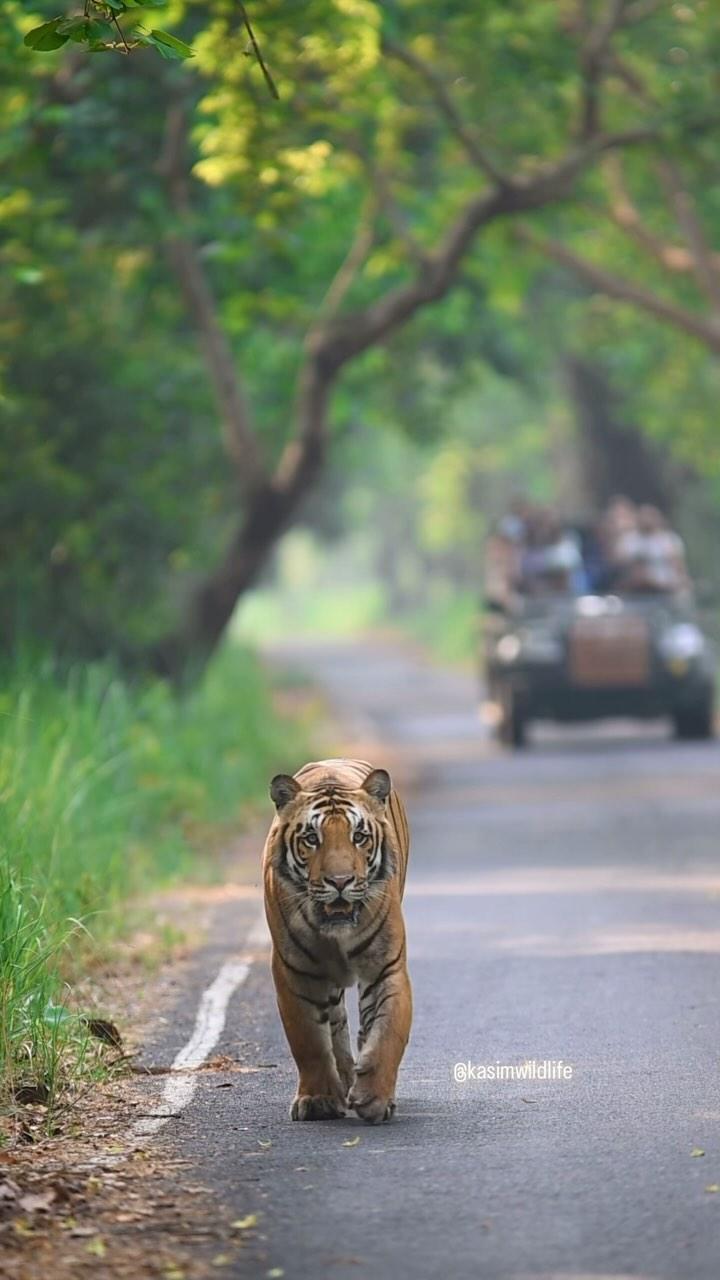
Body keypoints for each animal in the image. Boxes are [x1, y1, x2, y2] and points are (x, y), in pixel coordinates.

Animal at [262, 752, 409, 1126]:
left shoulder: (386, 967)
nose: (340, 881)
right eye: (312, 839)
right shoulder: (294, 972)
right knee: (336, 1022)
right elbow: (309, 1041)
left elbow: (388, 1031)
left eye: (359, 836)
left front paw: (375, 1097)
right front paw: (318, 1099)